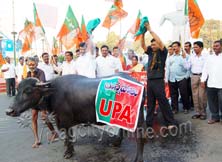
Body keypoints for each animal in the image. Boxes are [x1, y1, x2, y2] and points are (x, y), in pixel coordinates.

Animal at [5, 73, 146, 161]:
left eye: (28, 91)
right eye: (17, 89)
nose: (9, 111)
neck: (52, 94)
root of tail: (139, 84)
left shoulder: (64, 121)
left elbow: (67, 137)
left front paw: (68, 153)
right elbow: (70, 136)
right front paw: (70, 149)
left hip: (137, 118)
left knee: (140, 136)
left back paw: (138, 158)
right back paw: (116, 143)